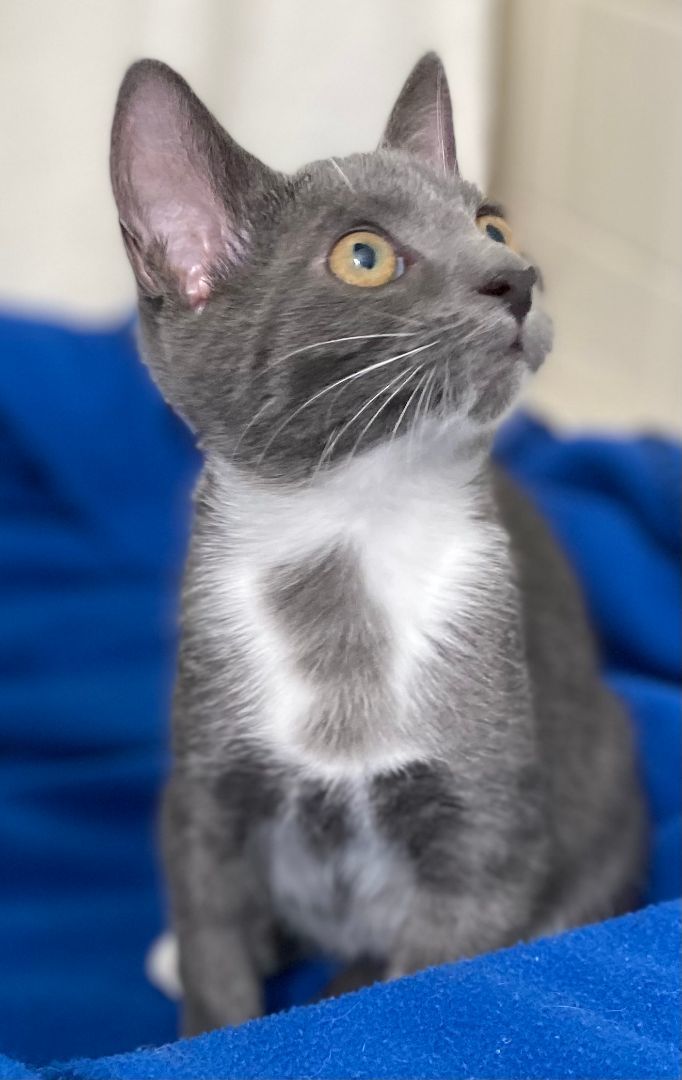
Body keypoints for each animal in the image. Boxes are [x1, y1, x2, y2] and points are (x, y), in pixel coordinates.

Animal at [110, 52, 644, 1036]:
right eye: (364, 256)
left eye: (492, 223)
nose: (520, 276)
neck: (349, 549)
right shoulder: (204, 791)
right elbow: (213, 955)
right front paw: (215, 1009)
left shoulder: (489, 834)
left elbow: (414, 988)